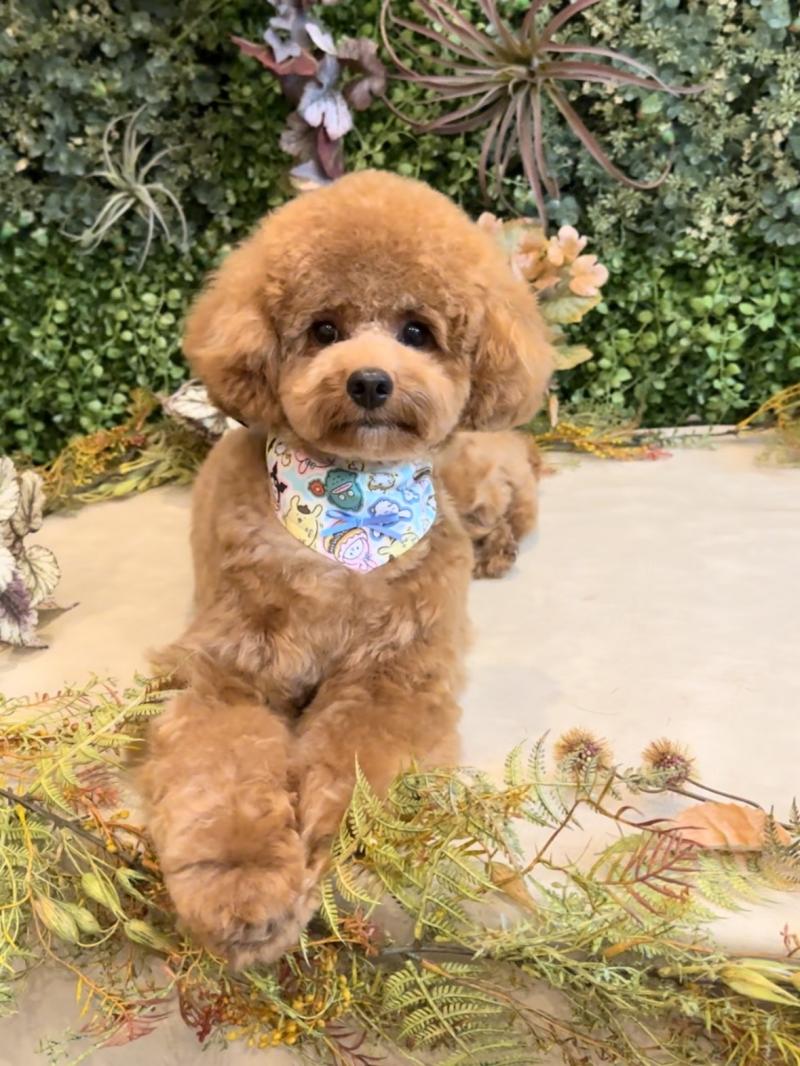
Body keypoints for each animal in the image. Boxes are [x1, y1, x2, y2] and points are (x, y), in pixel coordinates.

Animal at [137, 170, 553, 966]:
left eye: (417, 332)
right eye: (324, 329)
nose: (369, 382)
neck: (345, 516)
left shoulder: (394, 679)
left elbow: (350, 774)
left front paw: (329, 857)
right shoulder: (227, 674)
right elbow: (222, 776)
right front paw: (247, 890)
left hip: (477, 476)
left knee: (517, 497)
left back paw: (499, 550)